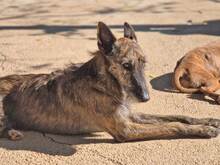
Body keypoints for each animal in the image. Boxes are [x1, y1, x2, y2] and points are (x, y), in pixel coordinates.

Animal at [0, 22, 220, 142]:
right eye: (126, 65)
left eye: (143, 62)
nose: (146, 98)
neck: (104, 85)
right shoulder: (125, 129)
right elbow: (175, 125)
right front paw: (204, 130)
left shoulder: (132, 115)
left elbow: (178, 116)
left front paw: (207, 121)